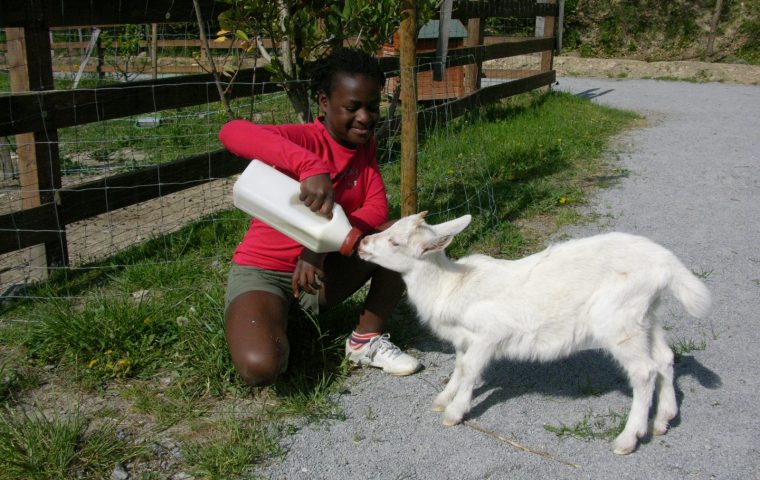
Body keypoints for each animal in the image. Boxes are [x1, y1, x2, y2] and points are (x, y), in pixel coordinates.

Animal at [358, 213, 712, 454]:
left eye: (395, 242)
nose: (361, 243)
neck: (450, 285)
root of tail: (666, 265)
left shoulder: (489, 334)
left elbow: (471, 371)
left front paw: (455, 412)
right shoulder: (465, 338)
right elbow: (459, 367)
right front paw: (444, 399)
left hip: (618, 318)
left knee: (644, 371)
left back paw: (629, 437)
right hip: (645, 316)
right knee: (664, 358)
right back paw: (664, 419)